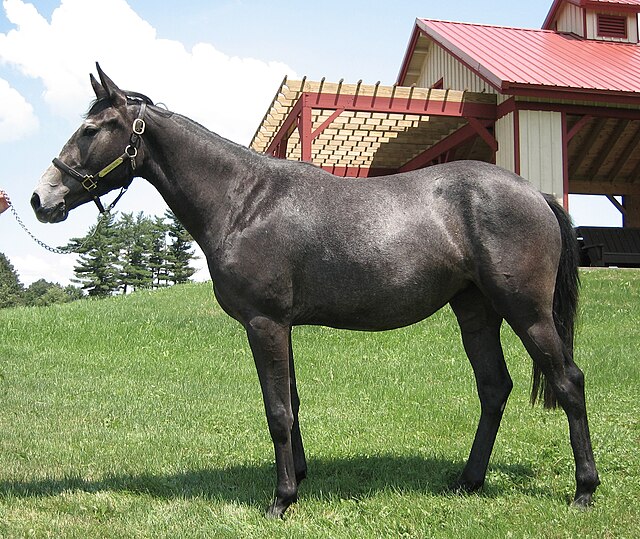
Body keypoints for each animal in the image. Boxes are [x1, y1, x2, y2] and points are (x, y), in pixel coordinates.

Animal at [31, 64, 600, 520]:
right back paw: (467, 481)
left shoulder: (264, 323)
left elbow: (277, 411)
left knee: (568, 382)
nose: (41, 198)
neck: (245, 201)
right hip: (476, 311)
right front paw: (299, 477)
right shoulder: (281, 326)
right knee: (493, 387)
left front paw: (281, 499)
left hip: (527, 313)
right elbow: (293, 401)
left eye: (90, 129)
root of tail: (535, 193)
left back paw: (584, 491)